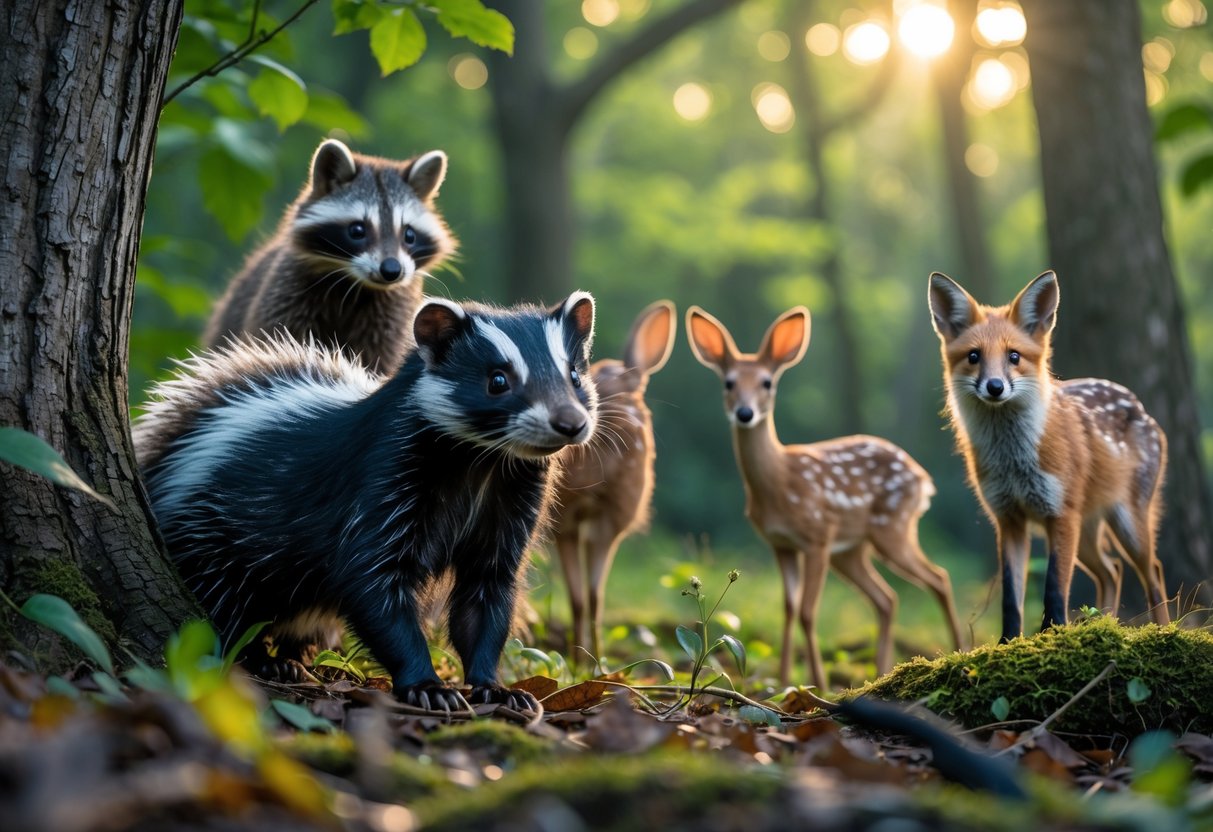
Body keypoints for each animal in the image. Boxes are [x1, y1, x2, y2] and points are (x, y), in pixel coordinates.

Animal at [550, 300, 677, 665]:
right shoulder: (568, 518)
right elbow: (581, 597)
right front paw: (581, 662)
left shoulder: (592, 518)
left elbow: (589, 596)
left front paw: (589, 662)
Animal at [687, 305, 964, 689]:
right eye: (728, 382)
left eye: (767, 382)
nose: (744, 413)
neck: (779, 484)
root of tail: (924, 479)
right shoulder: (781, 544)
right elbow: (788, 609)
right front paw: (782, 681)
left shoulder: (817, 535)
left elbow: (807, 611)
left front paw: (815, 682)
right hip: (851, 551)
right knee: (887, 598)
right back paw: (881, 673)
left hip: (892, 528)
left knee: (938, 578)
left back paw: (959, 650)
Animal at [928, 270, 1170, 641]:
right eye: (973, 357)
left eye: (1014, 356)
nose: (995, 387)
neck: (1013, 462)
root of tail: (1139, 406)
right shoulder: (1008, 519)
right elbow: (1011, 597)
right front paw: (1008, 642)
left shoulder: (1060, 515)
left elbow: (1055, 588)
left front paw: (1051, 635)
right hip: (1087, 535)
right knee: (1112, 570)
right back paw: (1103, 625)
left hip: (1126, 525)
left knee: (1152, 571)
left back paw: (1165, 629)